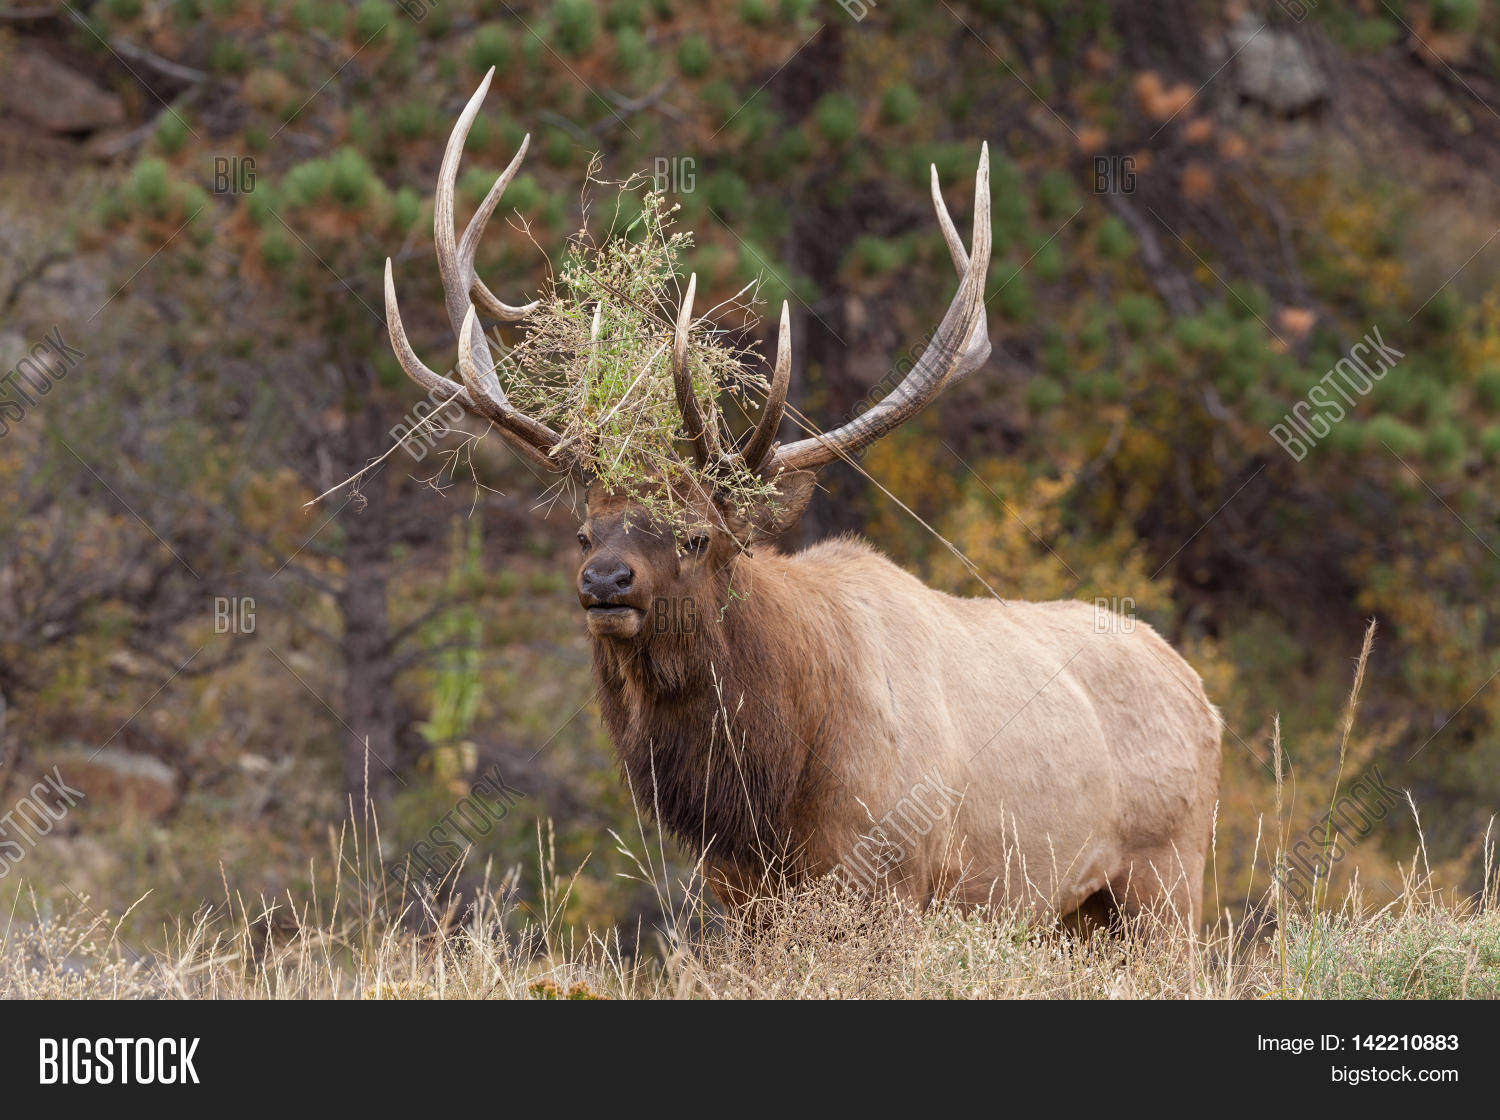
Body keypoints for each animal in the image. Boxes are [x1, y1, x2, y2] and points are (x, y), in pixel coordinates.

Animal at [382, 71, 1223, 932]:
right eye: (585, 533)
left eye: (697, 536)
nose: (606, 582)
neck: (772, 789)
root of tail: (1204, 697)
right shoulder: (740, 899)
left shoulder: (893, 879)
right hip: (1078, 913)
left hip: (1166, 881)